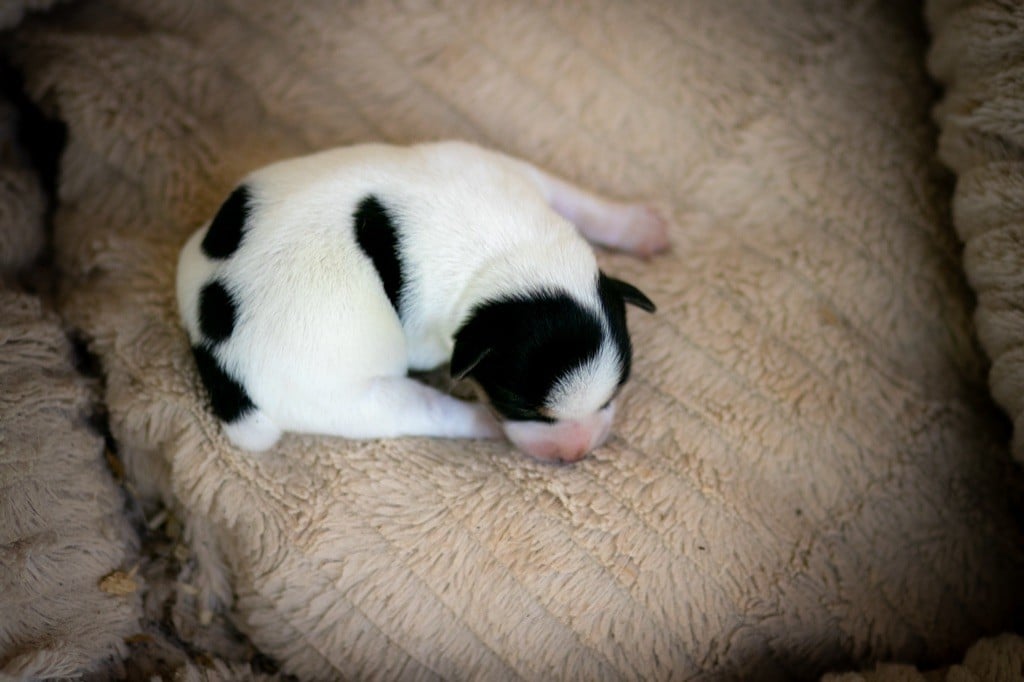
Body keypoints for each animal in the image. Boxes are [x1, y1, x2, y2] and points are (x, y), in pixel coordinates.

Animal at [177, 141, 667, 462]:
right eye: (523, 409)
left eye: (612, 397)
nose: (576, 454)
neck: (508, 253)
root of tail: (209, 343)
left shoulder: (519, 175)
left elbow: (579, 201)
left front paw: (639, 226)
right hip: (350, 396)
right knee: (420, 409)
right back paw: (479, 422)